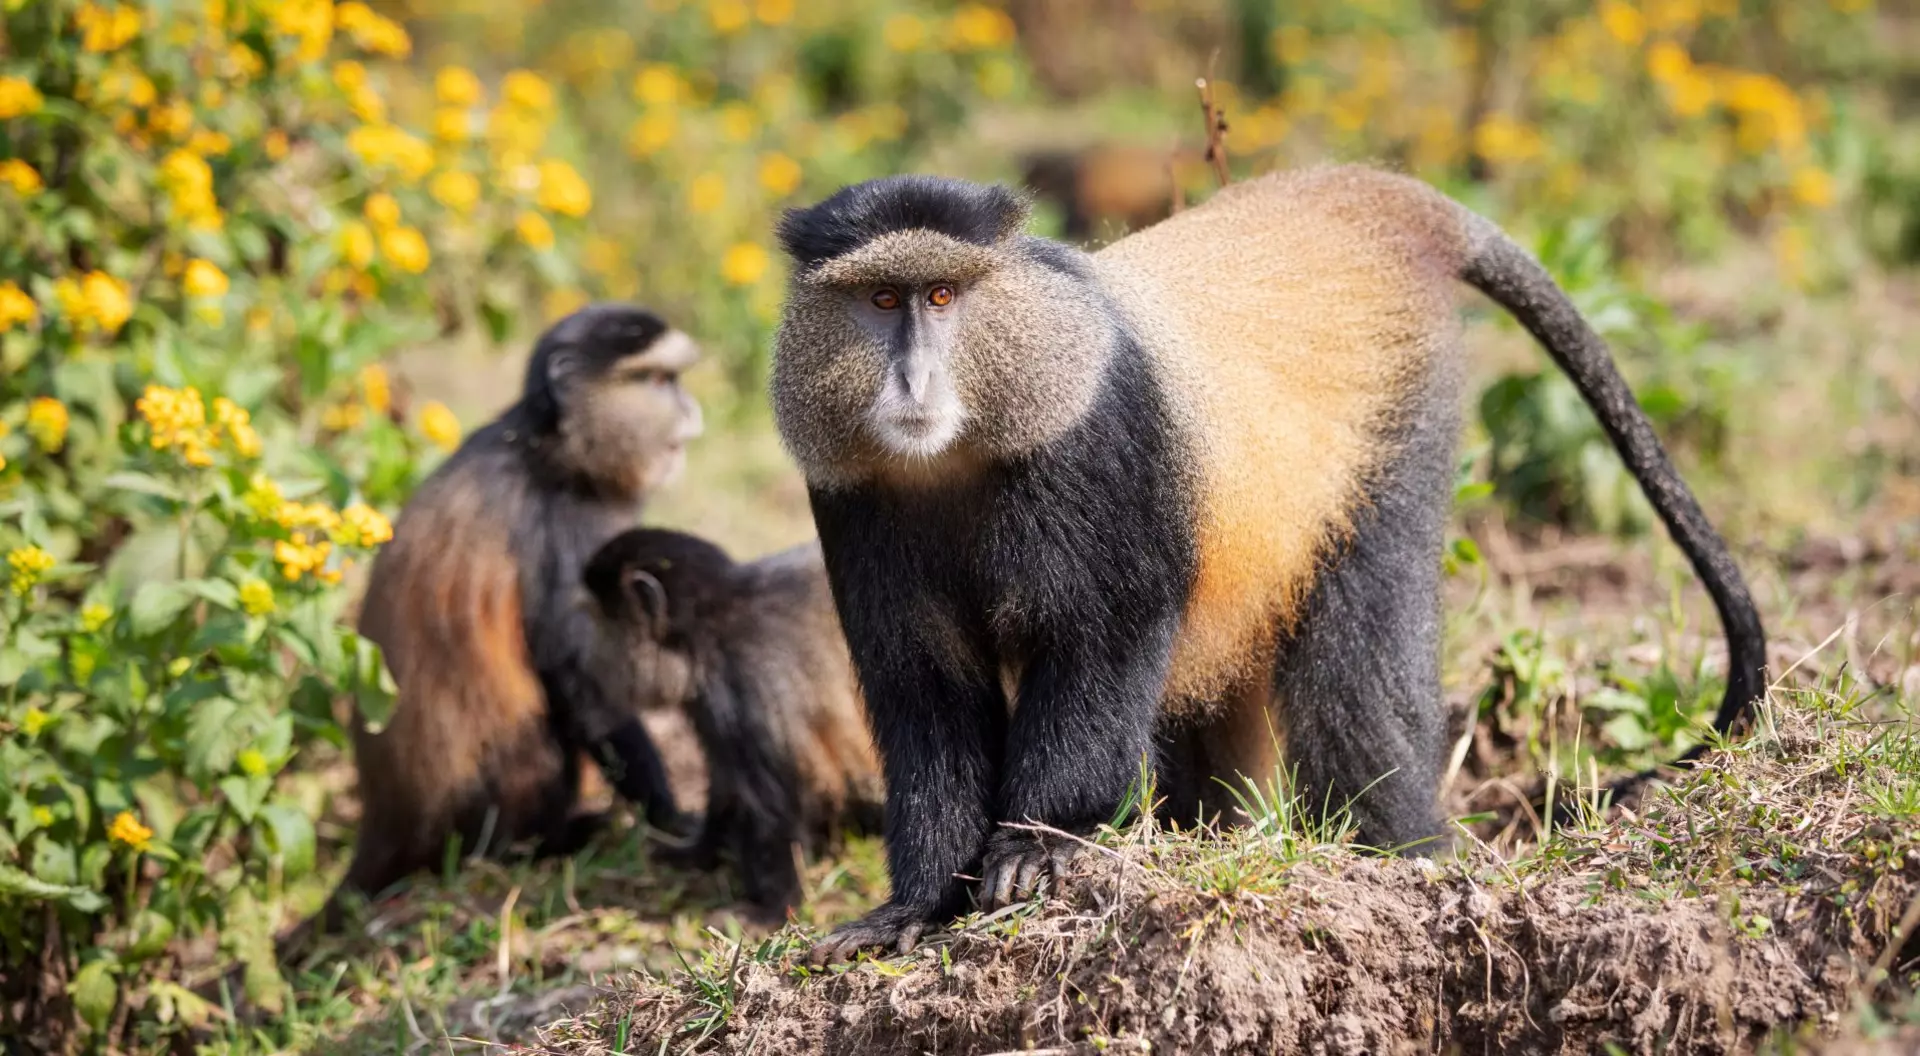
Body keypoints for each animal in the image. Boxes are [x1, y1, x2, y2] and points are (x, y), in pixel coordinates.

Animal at [297, 303, 706, 942]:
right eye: (660, 381)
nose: (690, 412)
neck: (549, 447)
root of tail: (383, 828)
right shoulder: (566, 528)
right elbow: (583, 686)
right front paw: (672, 818)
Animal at [578, 527, 884, 921]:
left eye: (600, 623)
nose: (587, 655)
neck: (708, 629)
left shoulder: (742, 677)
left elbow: (772, 806)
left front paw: (773, 908)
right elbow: (726, 782)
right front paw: (697, 852)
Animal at [766, 167, 1768, 963]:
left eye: (941, 296)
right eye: (881, 302)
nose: (912, 383)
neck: (964, 448)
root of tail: (1355, 199)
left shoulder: (1098, 446)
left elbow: (1106, 637)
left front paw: (1047, 844)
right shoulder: (853, 500)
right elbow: (924, 689)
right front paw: (915, 905)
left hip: (1396, 430)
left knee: (1358, 678)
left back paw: (1404, 860)